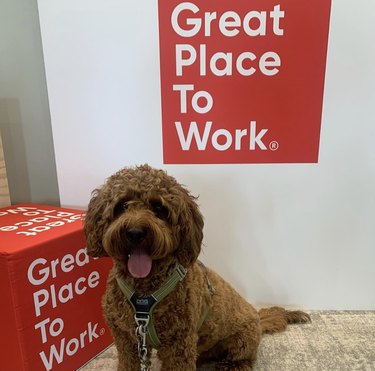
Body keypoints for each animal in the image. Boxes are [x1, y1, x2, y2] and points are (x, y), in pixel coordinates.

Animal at [86, 166, 312, 371]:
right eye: (122, 205)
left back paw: (232, 365)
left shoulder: (179, 344)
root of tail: (257, 316)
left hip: (242, 339)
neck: (144, 291)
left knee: (245, 359)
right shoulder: (128, 340)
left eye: (158, 208)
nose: (135, 232)